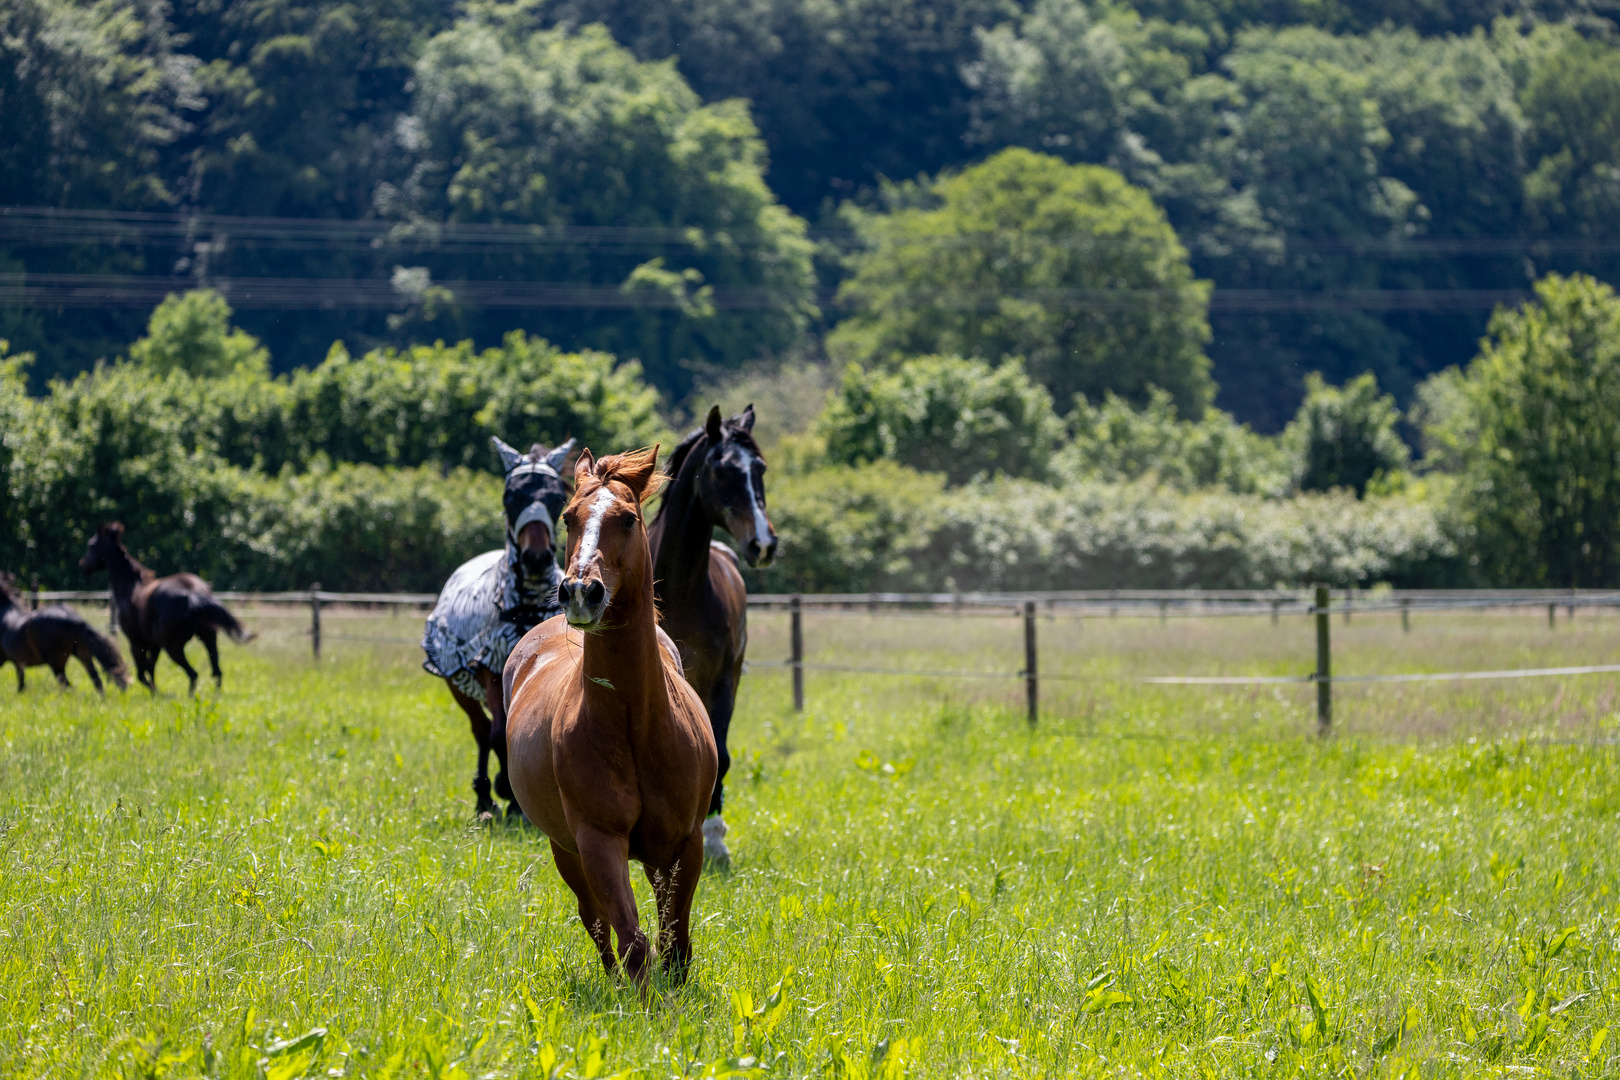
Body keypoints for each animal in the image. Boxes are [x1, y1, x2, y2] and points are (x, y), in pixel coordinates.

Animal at [0, 573, 129, 693]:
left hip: (56, 663)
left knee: (67, 686)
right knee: (96, 680)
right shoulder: (19, 663)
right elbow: (21, 685)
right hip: (83, 654)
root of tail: (72, 618)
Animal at [76, 521, 249, 693]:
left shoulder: (137, 643)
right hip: (208, 638)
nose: (83, 565)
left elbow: (142, 675)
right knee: (216, 672)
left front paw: (157, 694)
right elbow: (150, 669)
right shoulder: (154, 645)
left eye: (91, 545)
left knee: (193, 674)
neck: (130, 587)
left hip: (173, 647)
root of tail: (192, 593)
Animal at [421, 433, 573, 816]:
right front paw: (506, 790)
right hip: (458, 683)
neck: (524, 607)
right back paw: (484, 797)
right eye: (511, 497)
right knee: (482, 729)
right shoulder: (489, 665)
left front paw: (517, 799)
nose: (535, 558)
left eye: (556, 498)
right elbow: (496, 732)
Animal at [498, 446, 716, 990]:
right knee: (595, 921)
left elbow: (675, 941)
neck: (635, 723)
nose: (580, 591)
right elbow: (631, 939)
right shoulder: (597, 842)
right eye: (568, 517)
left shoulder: (685, 844)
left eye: (628, 518)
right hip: (565, 849)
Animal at [644, 404, 777, 861]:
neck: (681, 589)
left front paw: (715, 837)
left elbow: (719, 753)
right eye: (721, 470)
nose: (764, 544)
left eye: (760, 469)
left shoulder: (722, 683)